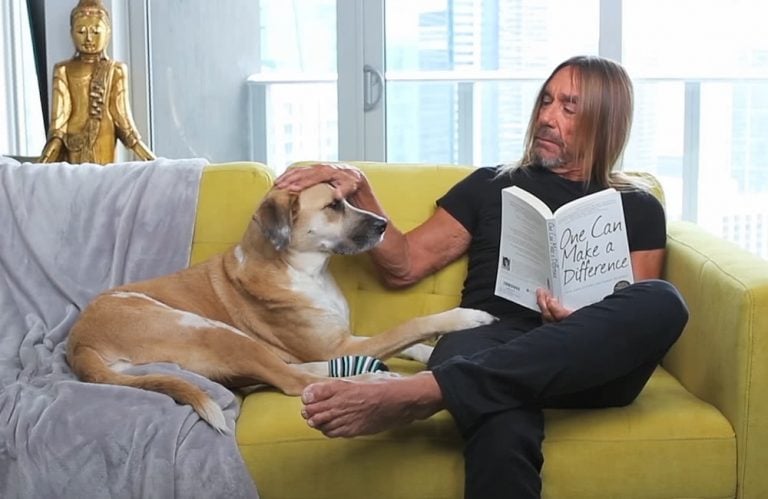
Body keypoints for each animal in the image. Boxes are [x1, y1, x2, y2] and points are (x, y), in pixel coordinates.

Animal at [67, 184, 498, 434]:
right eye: (333, 206)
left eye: (347, 200)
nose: (383, 226)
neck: (307, 271)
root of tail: (79, 346)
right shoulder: (340, 345)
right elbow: (411, 325)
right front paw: (468, 317)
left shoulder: (344, 340)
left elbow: (412, 342)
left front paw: (428, 350)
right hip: (208, 329)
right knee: (294, 381)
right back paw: (371, 382)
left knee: (294, 372)